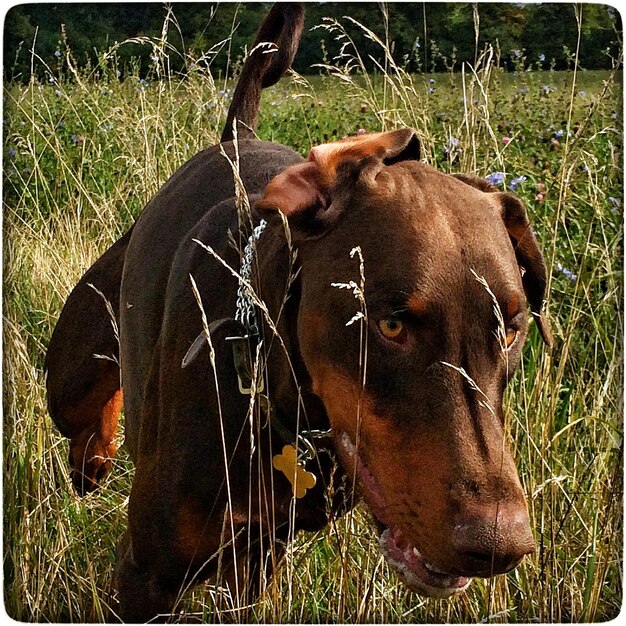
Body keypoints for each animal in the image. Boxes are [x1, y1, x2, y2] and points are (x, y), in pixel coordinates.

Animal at [45, 3, 552, 620]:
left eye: (511, 329)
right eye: (389, 324)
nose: (499, 544)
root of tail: (235, 138)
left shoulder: (258, 555)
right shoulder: (147, 573)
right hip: (72, 378)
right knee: (81, 419)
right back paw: (96, 449)